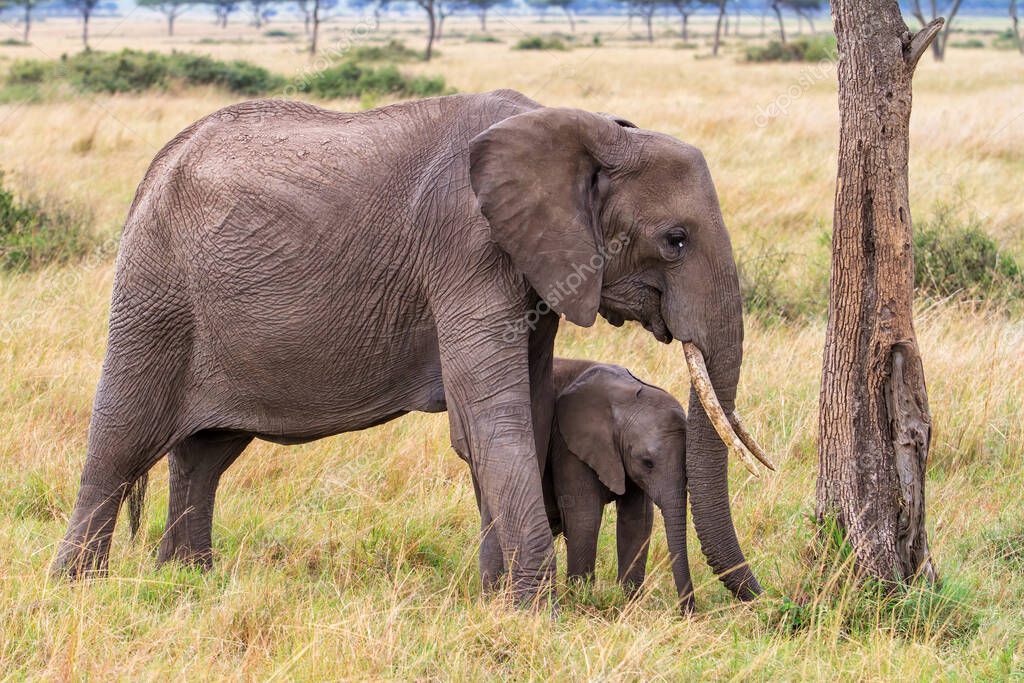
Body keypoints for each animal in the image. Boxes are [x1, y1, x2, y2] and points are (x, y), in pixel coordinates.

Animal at [548, 358, 692, 610]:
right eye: (647, 463)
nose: (687, 612)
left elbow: (638, 520)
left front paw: (631, 605)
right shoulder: (567, 446)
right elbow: (584, 518)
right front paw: (579, 604)